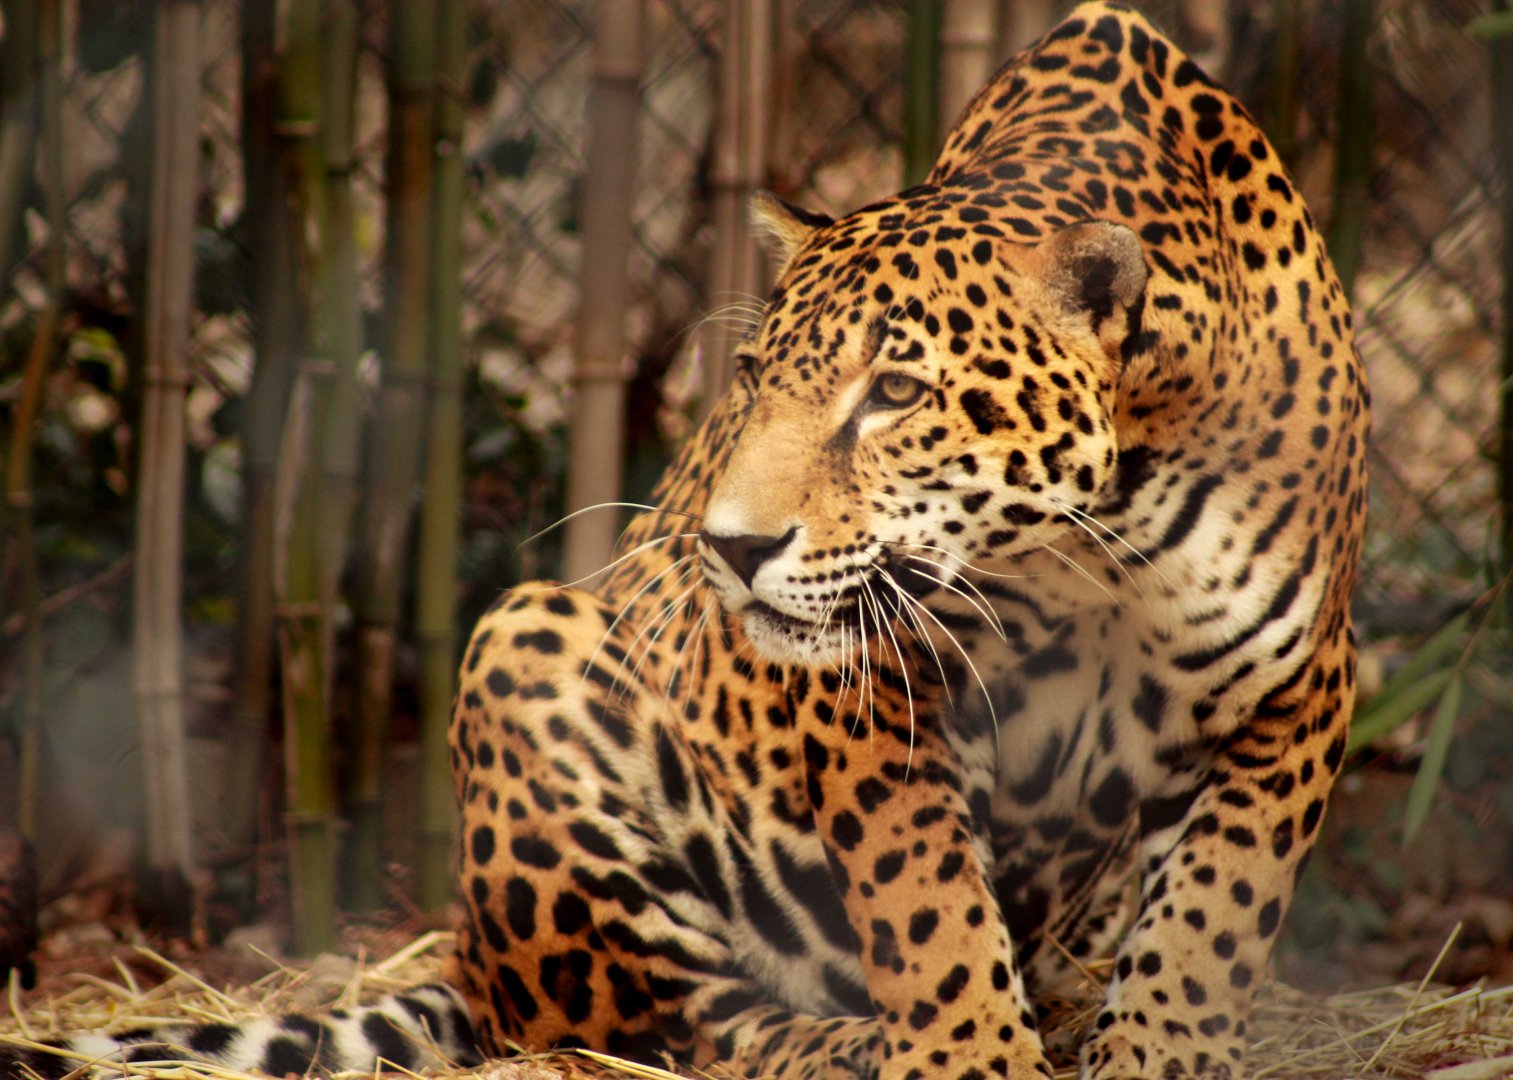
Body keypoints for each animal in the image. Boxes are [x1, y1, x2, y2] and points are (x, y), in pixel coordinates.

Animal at [1, 4, 1367, 1078]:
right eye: (755, 380)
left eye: (894, 394)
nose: (730, 547)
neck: (1091, 552)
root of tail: (469, 956)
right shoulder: (875, 694)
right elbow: (930, 923)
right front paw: (966, 1060)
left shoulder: (1300, 690)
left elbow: (1210, 927)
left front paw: (1153, 1053)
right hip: (527, 646)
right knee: (675, 1019)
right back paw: (842, 1047)